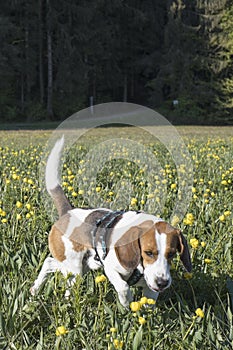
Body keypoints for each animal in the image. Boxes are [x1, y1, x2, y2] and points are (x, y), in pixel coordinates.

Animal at [30, 137, 191, 306]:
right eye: (148, 253)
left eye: (172, 254)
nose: (162, 283)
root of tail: (68, 211)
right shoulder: (110, 268)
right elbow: (124, 287)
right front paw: (126, 304)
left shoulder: (150, 290)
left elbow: (148, 303)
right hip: (74, 268)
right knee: (60, 275)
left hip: (82, 265)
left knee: (49, 263)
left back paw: (37, 290)